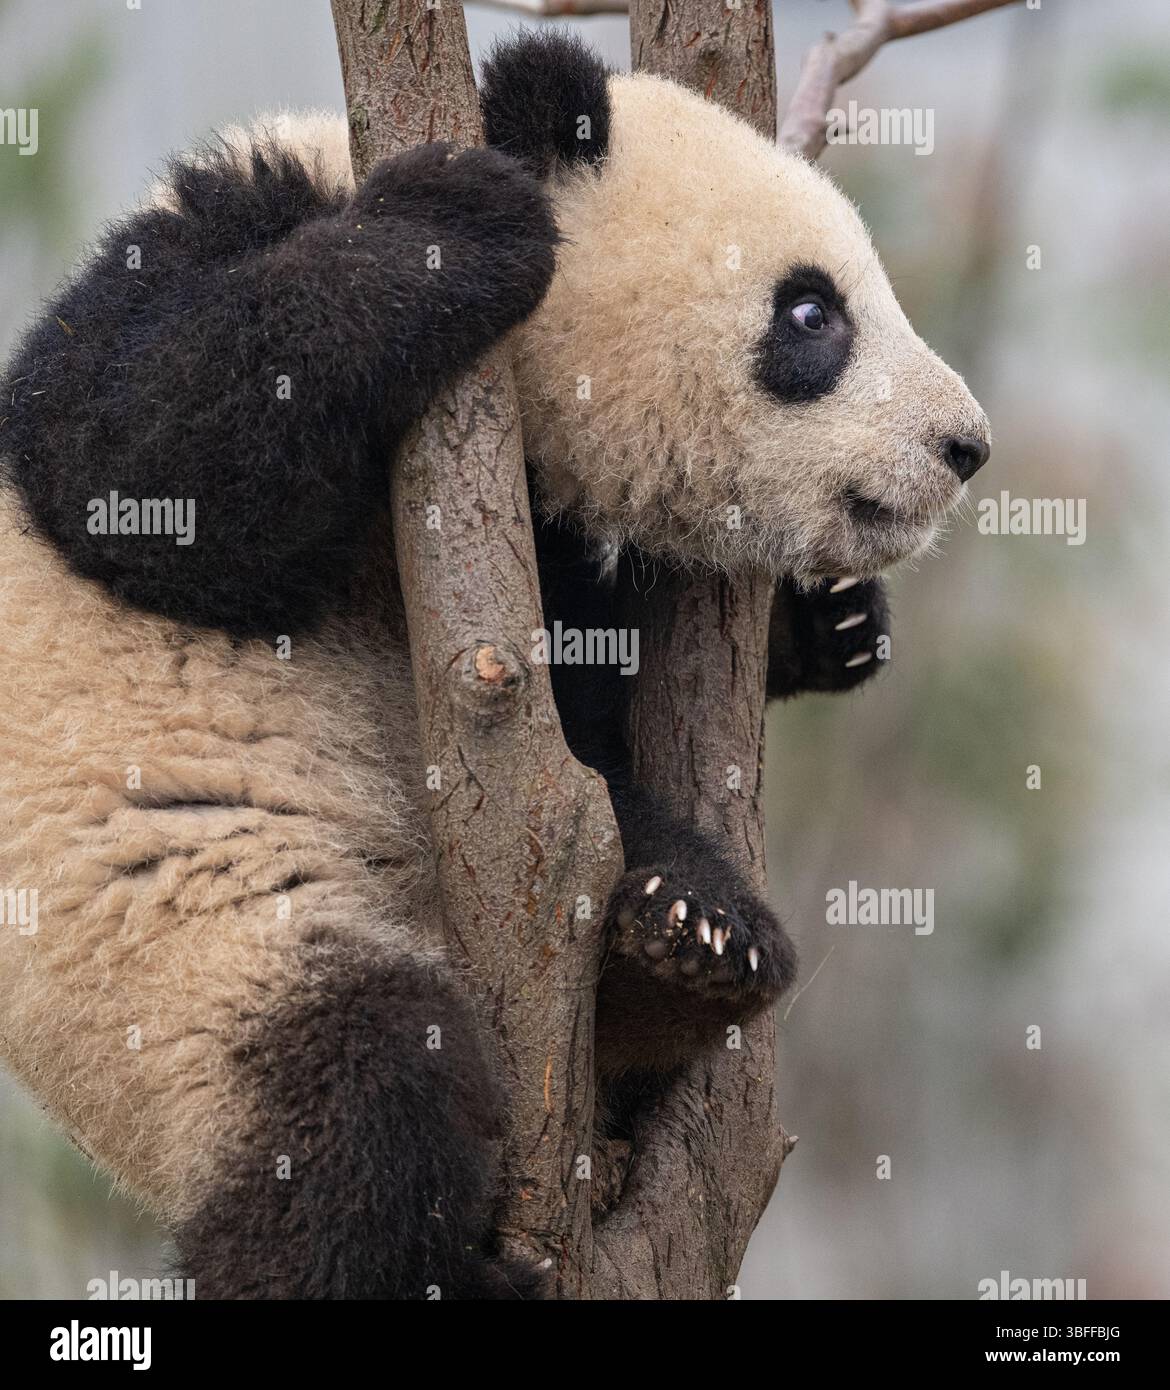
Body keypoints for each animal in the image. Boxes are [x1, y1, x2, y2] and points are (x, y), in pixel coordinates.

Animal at [0, 30, 989, 1298]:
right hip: (182, 968)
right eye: (814, 312)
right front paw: (456, 226)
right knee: (363, 1095)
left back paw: (684, 951)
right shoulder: (222, 228)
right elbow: (140, 464)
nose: (965, 445)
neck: (520, 405)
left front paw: (838, 622)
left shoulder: (558, 556)